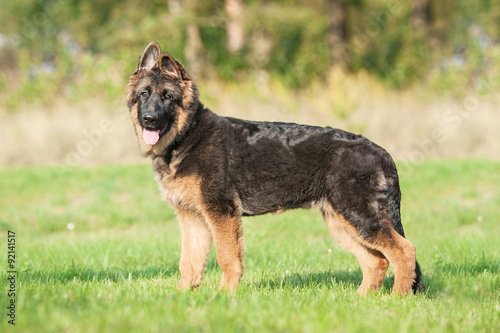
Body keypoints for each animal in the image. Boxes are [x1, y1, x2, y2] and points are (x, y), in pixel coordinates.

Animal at [127, 41, 424, 296]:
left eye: (167, 97)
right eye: (144, 94)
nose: (149, 119)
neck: (186, 136)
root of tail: (380, 151)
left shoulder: (221, 213)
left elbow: (226, 257)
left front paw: (225, 294)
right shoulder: (192, 218)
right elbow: (188, 261)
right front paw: (181, 296)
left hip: (359, 216)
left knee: (405, 251)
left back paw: (397, 298)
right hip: (342, 221)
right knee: (376, 261)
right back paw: (362, 299)